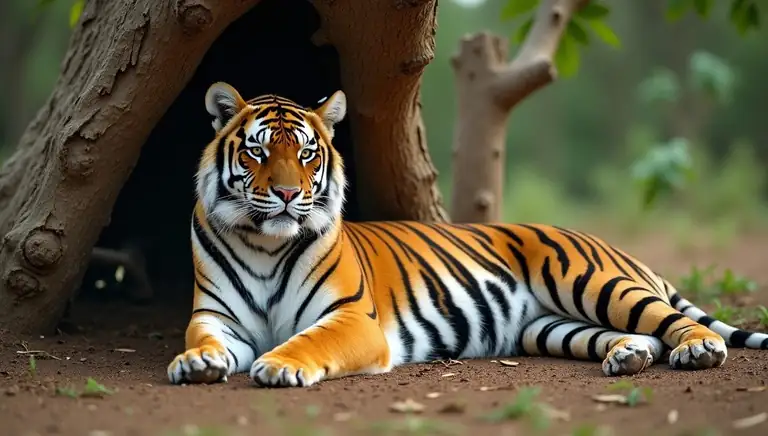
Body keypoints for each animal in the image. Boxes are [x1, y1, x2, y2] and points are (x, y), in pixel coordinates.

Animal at [167, 82, 768, 387]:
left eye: (307, 154)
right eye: (258, 151)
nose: (290, 193)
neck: (264, 243)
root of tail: (618, 248)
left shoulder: (353, 320)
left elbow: (309, 340)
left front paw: (279, 364)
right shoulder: (215, 318)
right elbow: (202, 341)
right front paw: (196, 364)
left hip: (594, 284)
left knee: (672, 323)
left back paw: (699, 350)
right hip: (550, 326)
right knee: (637, 337)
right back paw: (628, 358)